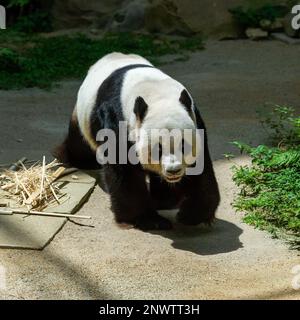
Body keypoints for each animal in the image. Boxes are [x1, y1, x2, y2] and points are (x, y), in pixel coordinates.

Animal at [54, 53, 220, 231]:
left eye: (184, 145)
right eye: (158, 149)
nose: (173, 170)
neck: (157, 95)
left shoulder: (195, 119)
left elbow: (201, 168)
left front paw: (191, 216)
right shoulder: (117, 119)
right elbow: (125, 171)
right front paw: (147, 220)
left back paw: (164, 200)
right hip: (82, 119)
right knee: (80, 147)